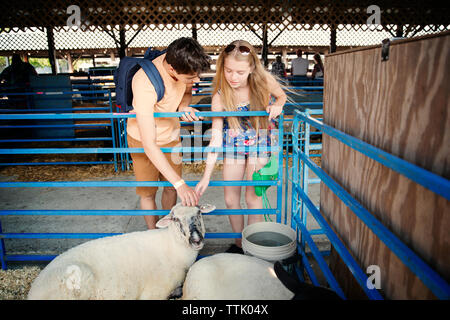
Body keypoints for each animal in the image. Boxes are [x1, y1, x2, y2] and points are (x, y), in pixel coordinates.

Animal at [27, 202, 215, 300]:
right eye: (175, 219)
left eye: (199, 212)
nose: (196, 239)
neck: (172, 247)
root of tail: (33, 291)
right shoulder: (153, 292)